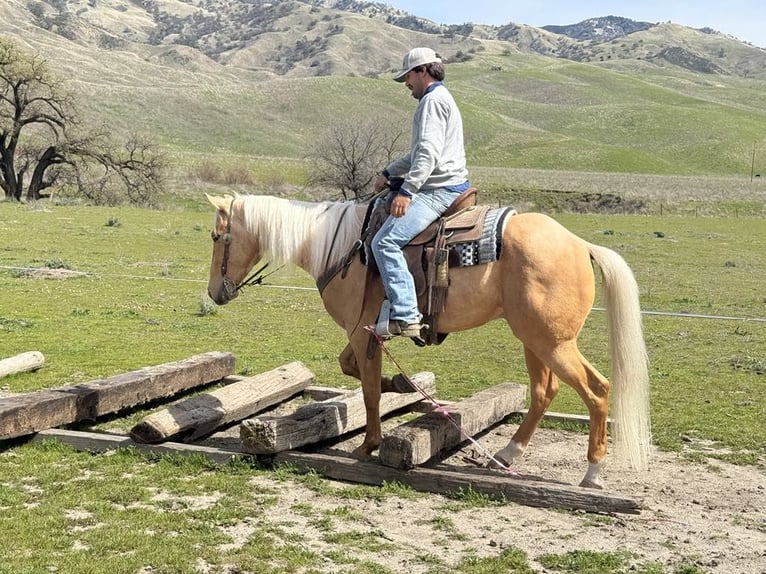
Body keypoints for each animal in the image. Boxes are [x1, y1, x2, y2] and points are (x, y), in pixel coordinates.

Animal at [205, 192, 651, 489]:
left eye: (216, 237)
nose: (214, 293)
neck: (341, 248)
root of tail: (580, 244)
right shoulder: (364, 332)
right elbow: (353, 369)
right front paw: (404, 385)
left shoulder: (360, 330)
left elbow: (368, 389)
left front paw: (368, 446)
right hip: (534, 340)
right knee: (545, 391)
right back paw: (507, 454)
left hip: (553, 343)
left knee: (597, 390)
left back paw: (592, 473)